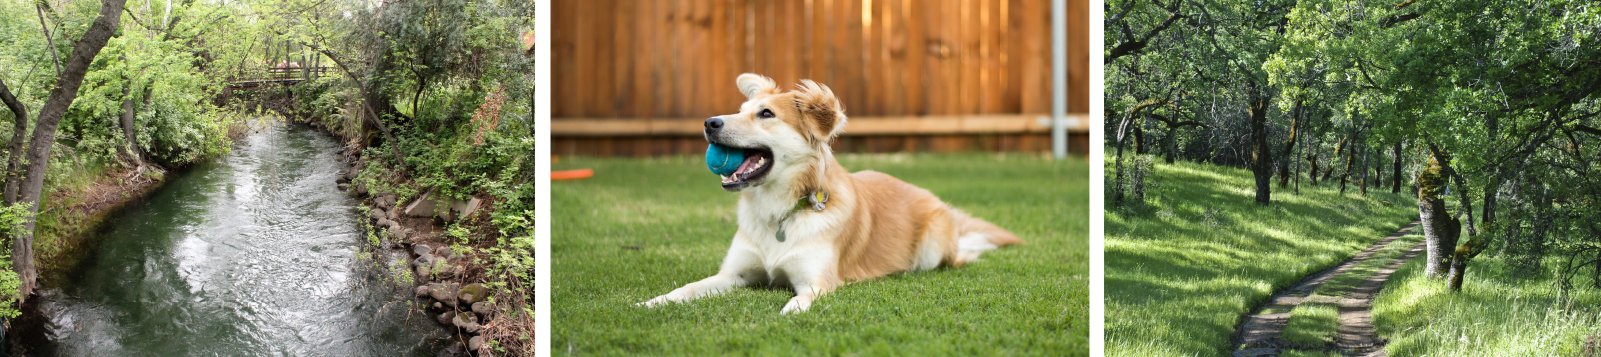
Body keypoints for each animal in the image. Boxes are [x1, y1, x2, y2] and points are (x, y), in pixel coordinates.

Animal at [637, 74, 1024, 313]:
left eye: (766, 113)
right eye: (740, 111)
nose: (709, 123)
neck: (781, 211)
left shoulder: (818, 282)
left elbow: (799, 301)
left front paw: (789, 311)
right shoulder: (731, 276)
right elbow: (685, 289)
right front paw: (651, 302)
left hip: (932, 249)